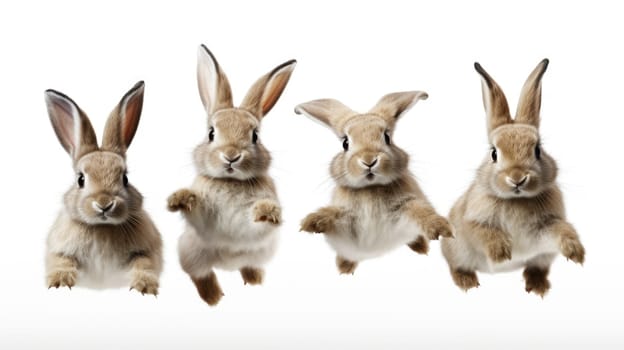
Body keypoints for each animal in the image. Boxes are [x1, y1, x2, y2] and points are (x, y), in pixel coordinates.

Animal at [44, 80, 163, 294]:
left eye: (125, 178)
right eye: (81, 179)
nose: (104, 204)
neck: (102, 227)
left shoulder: (147, 251)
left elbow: (144, 264)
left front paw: (144, 287)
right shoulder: (60, 251)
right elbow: (63, 262)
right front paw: (60, 283)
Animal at [168, 44, 298, 306]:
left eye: (255, 136)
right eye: (211, 133)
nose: (231, 156)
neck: (230, 182)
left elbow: (255, 223)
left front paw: (266, 211)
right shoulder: (203, 221)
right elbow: (198, 213)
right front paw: (180, 198)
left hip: (261, 252)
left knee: (250, 266)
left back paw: (254, 281)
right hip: (191, 251)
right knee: (201, 276)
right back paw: (214, 298)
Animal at [294, 91, 456, 274]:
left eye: (387, 137)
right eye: (345, 143)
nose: (369, 160)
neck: (371, 188)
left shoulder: (406, 206)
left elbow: (421, 211)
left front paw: (440, 228)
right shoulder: (346, 216)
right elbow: (333, 213)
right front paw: (312, 222)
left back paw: (421, 247)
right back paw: (344, 266)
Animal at [438, 59, 584, 296]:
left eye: (538, 150)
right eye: (494, 153)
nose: (517, 178)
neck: (517, 200)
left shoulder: (546, 228)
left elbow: (562, 229)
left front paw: (575, 251)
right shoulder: (471, 223)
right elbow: (482, 232)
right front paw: (500, 253)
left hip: (543, 257)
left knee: (537, 266)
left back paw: (538, 285)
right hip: (456, 250)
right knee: (456, 266)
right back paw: (466, 282)